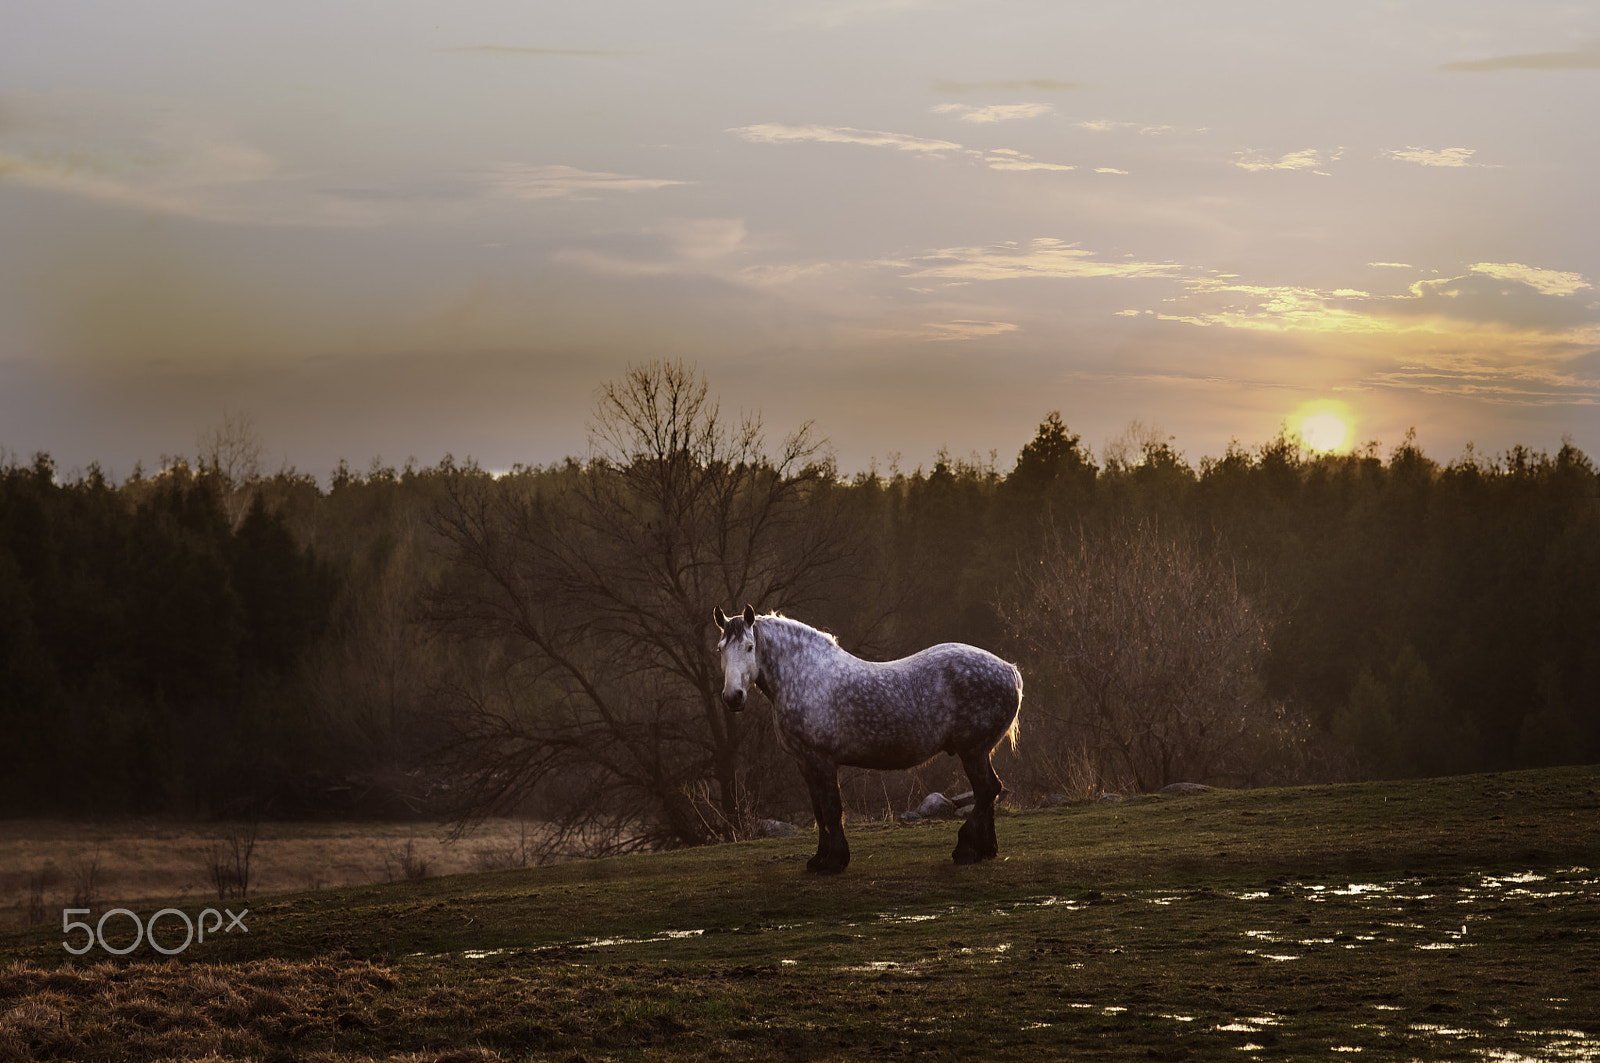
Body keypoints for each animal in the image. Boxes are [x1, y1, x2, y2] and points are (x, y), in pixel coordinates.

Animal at [716, 605, 1024, 870]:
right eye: (720, 649)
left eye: (750, 647)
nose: (733, 697)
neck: (805, 676)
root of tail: (1010, 670)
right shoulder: (804, 762)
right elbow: (818, 810)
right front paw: (819, 859)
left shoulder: (822, 760)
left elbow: (832, 809)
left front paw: (835, 861)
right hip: (979, 751)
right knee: (987, 791)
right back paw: (984, 850)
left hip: (972, 751)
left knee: (987, 789)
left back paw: (966, 849)